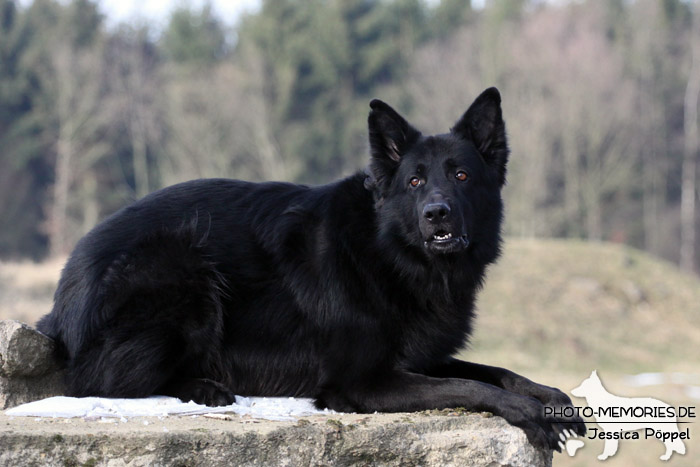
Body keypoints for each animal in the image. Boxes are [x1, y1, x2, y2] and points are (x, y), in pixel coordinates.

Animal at [38, 87, 584, 450]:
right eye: (414, 181)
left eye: (463, 175)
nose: (437, 214)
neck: (390, 254)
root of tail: (63, 298)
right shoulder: (363, 383)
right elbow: (471, 387)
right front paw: (530, 413)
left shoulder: (419, 358)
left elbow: (493, 371)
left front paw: (550, 397)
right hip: (182, 270)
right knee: (99, 382)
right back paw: (203, 388)